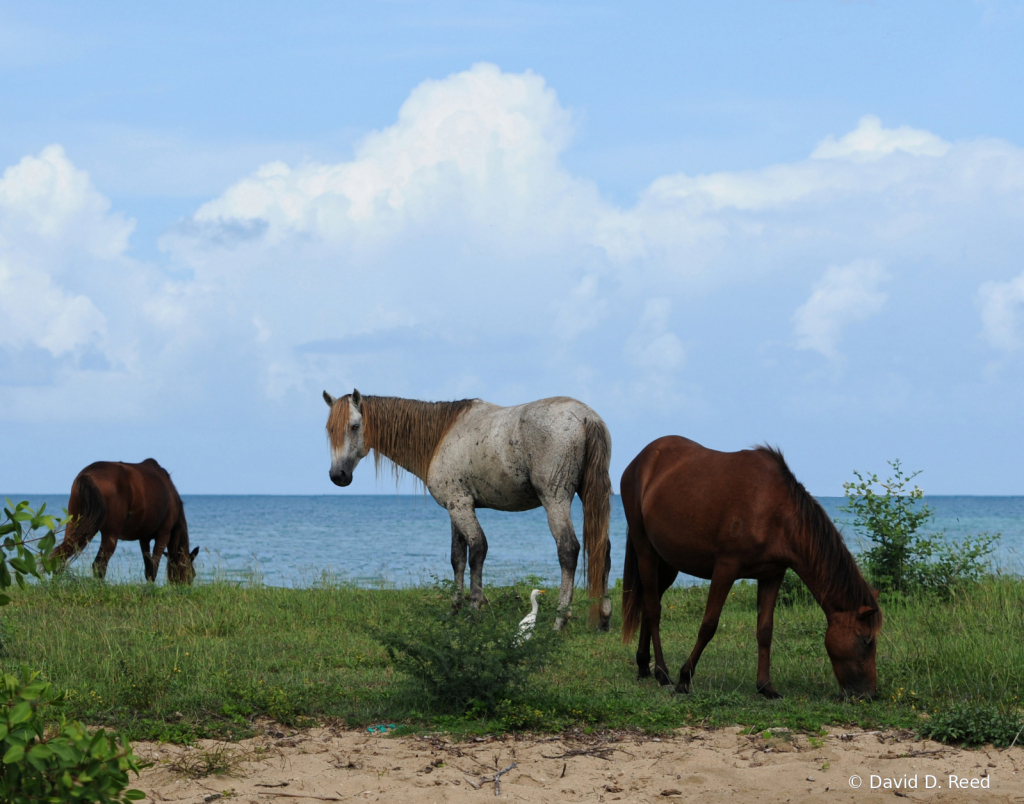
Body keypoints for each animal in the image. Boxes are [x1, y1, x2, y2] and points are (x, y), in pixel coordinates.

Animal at [49, 458, 197, 581]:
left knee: (61, 556)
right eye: (192, 574)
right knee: (99, 565)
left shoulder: (144, 538)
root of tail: (86, 475)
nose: (185, 587)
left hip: (74, 525)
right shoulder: (163, 535)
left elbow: (148, 568)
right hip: (110, 534)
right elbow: (153, 569)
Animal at [323, 389, 610, 626]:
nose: (338, 475)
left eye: (354, 426)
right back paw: (604, 617)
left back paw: (560, 620)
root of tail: (586, 417)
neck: (441, 435)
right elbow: (457, 558)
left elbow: (477, 550)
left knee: (568, 550)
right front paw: (454, 609)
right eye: (329, 429)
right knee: (602, 548)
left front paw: (474, 609)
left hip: (555, 500)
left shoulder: (461, 507)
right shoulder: (455, 507)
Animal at [618, 436, 884, 700]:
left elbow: (765, 630)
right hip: (645, 549)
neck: (775, 511)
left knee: (648, 603)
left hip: (667, 563)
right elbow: (708, 625)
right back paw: (663, 674)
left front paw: (765, 686)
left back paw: (644, 666)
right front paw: (685, 679)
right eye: (866, 641)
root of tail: (641, 459)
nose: (868, 694)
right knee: (653, 609)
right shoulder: (725, 569)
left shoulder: (772, 574)